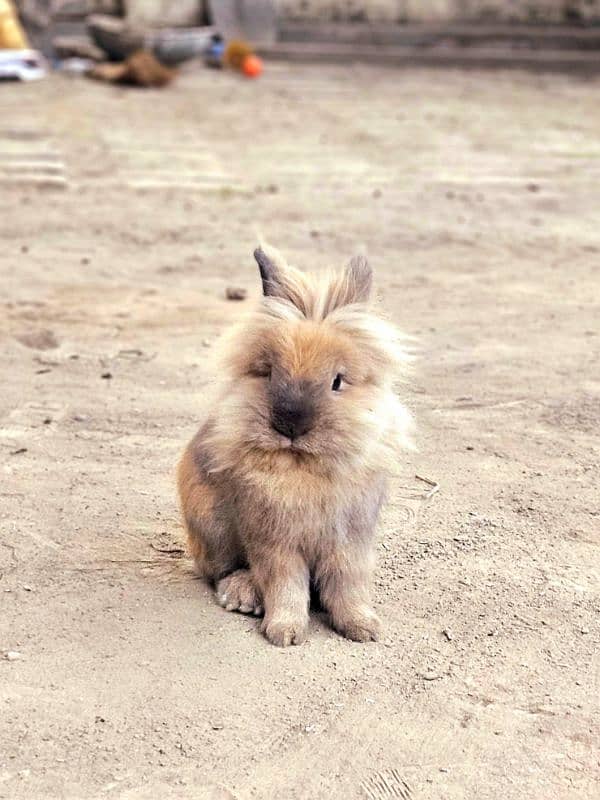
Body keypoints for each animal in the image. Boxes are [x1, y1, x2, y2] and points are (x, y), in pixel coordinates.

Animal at [176, 245, 414, 648]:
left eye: (337, 381)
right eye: (269, 372)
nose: (290, 424)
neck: (303, 464)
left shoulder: (350, 540)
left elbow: (348, 585)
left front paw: (363, 628)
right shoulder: (274, 542)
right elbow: (285, 585)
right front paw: (284, 633)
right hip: (211, 525)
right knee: (220, 571)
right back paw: (242, 595)